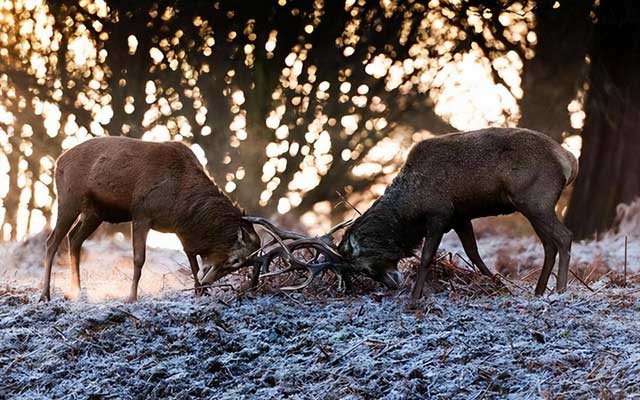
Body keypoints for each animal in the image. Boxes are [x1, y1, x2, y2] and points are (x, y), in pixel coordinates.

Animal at [40, 136, 260, 302]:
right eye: (235, 260)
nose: (208, 282)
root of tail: (58, 161)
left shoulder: (181, 230)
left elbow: (192, 261)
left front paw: (199, 292)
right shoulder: (141, 214)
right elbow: (139, 259)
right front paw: (131, 297)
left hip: (94, 213)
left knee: (74, 238)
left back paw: (76, 291)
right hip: (69, 200)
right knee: (52, 241)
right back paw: (45, 295)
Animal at [336, 128, 580, 300]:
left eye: (365, 268)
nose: (392, 284)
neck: (411, 209)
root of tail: (569, 160)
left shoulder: (440, 214)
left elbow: (427, 256)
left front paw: (414, 297)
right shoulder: (460, 217)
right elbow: (473, 253)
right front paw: (500, 286)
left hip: (536, 201)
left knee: (564, 236)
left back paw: (560, 290)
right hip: (533, 207)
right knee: (549, 244)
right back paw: (539, 291)